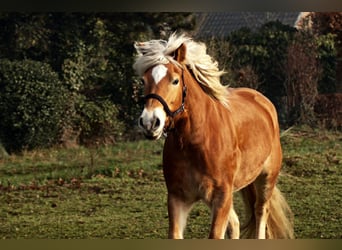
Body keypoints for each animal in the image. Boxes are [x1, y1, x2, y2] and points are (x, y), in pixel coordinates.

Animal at [134, 32, 294, 238]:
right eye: (143, 81)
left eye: (175, 80)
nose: (150, 122)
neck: (196, 141)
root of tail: (263, 102)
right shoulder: (178, 199)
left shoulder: (221, 197)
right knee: (235, 223)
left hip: (266, 179)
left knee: (260, 212)